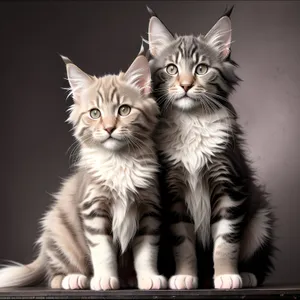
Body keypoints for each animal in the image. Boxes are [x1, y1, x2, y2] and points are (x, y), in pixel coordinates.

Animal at [0, 53, 168, 290]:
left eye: (124, 110)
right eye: (95, 113)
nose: (109, 128)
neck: (120, 160)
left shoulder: (149, 208)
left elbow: (147, 251)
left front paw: (149, 278)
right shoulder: (93, 208)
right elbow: (103, 251)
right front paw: (105, 279)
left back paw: (128, 279)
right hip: (60, 232)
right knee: (54, 277)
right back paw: (75, 279)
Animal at [146, 6, 276, 288]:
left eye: (202, 68)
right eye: (171, 69)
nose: (185, 85)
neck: (191, 120)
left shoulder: (230, 184)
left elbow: (226, 240)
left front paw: (227, 275)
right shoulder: (174, 193)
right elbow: (182, 242)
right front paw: (185, 276)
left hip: (261, 219)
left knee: (258, 263)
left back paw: (245, 275)